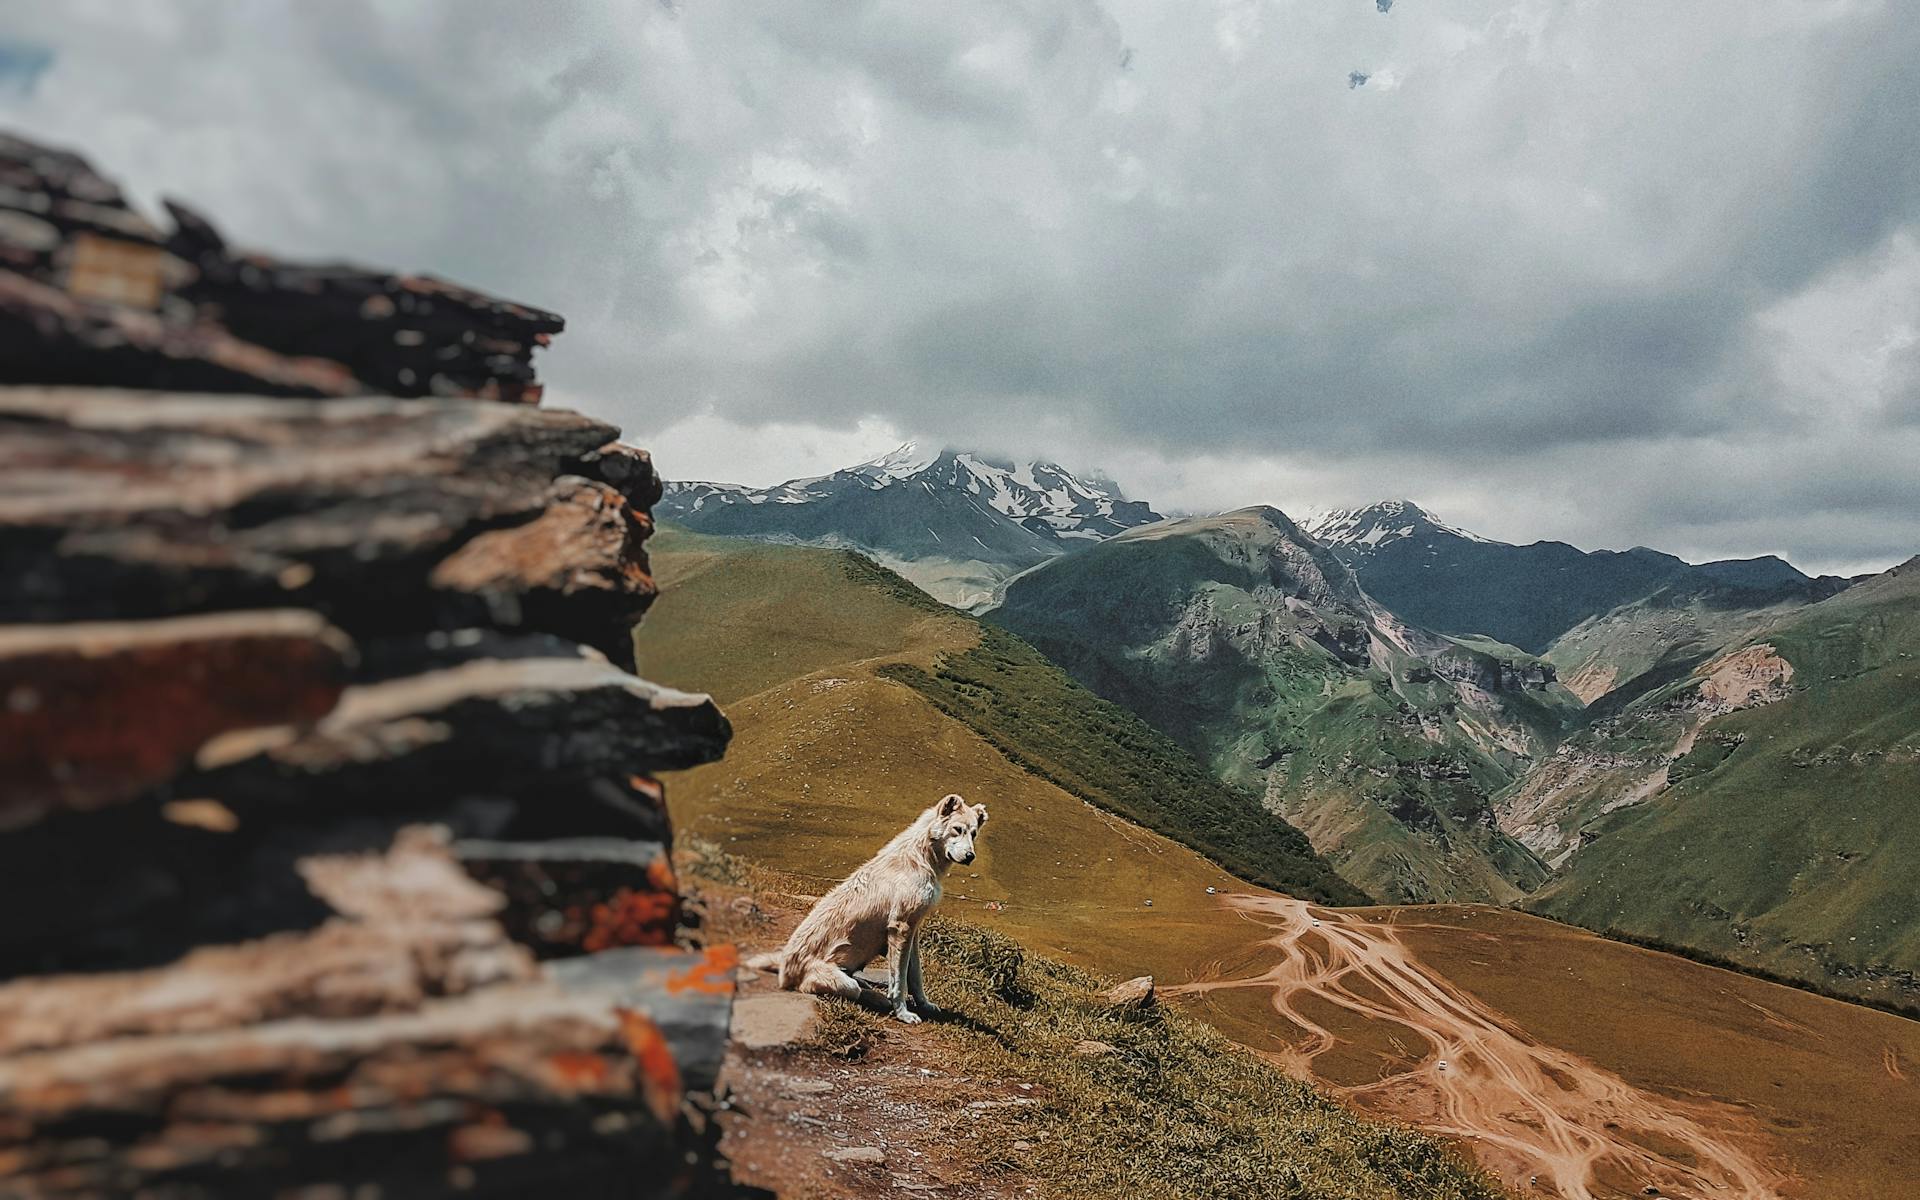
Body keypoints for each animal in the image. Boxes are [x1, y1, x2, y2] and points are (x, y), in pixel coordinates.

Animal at [748, 791, 990, 1021]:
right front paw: (903, 1013)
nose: (970, 856)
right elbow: (899, 982)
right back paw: (878, 998)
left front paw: (924, 1005)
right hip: (837, 981)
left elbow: (915, 977)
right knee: (842, 988)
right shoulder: (900, 928)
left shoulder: (913, 930)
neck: (921, 857)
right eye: (957, 829)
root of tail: (784, 968)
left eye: (973, 834)